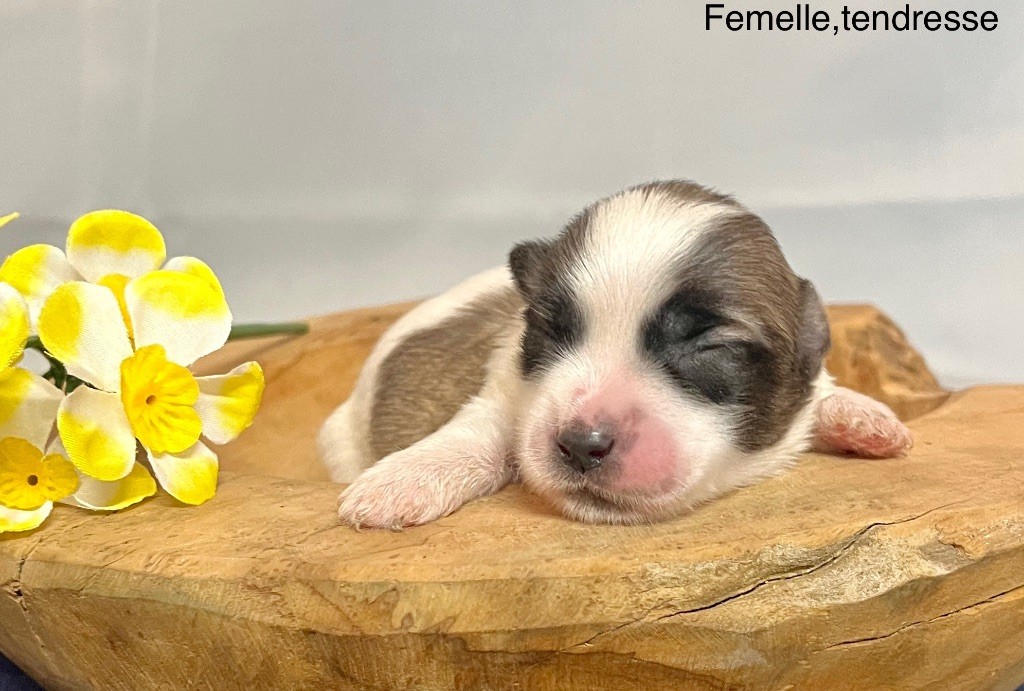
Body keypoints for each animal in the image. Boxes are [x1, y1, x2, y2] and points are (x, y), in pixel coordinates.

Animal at [319, 181, 913, 528]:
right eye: (550, 328)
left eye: (711, 346)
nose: (582, 444)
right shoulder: (507, 390)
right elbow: (474, 432)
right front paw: (402, 480)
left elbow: (821, 393)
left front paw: (863, 417)